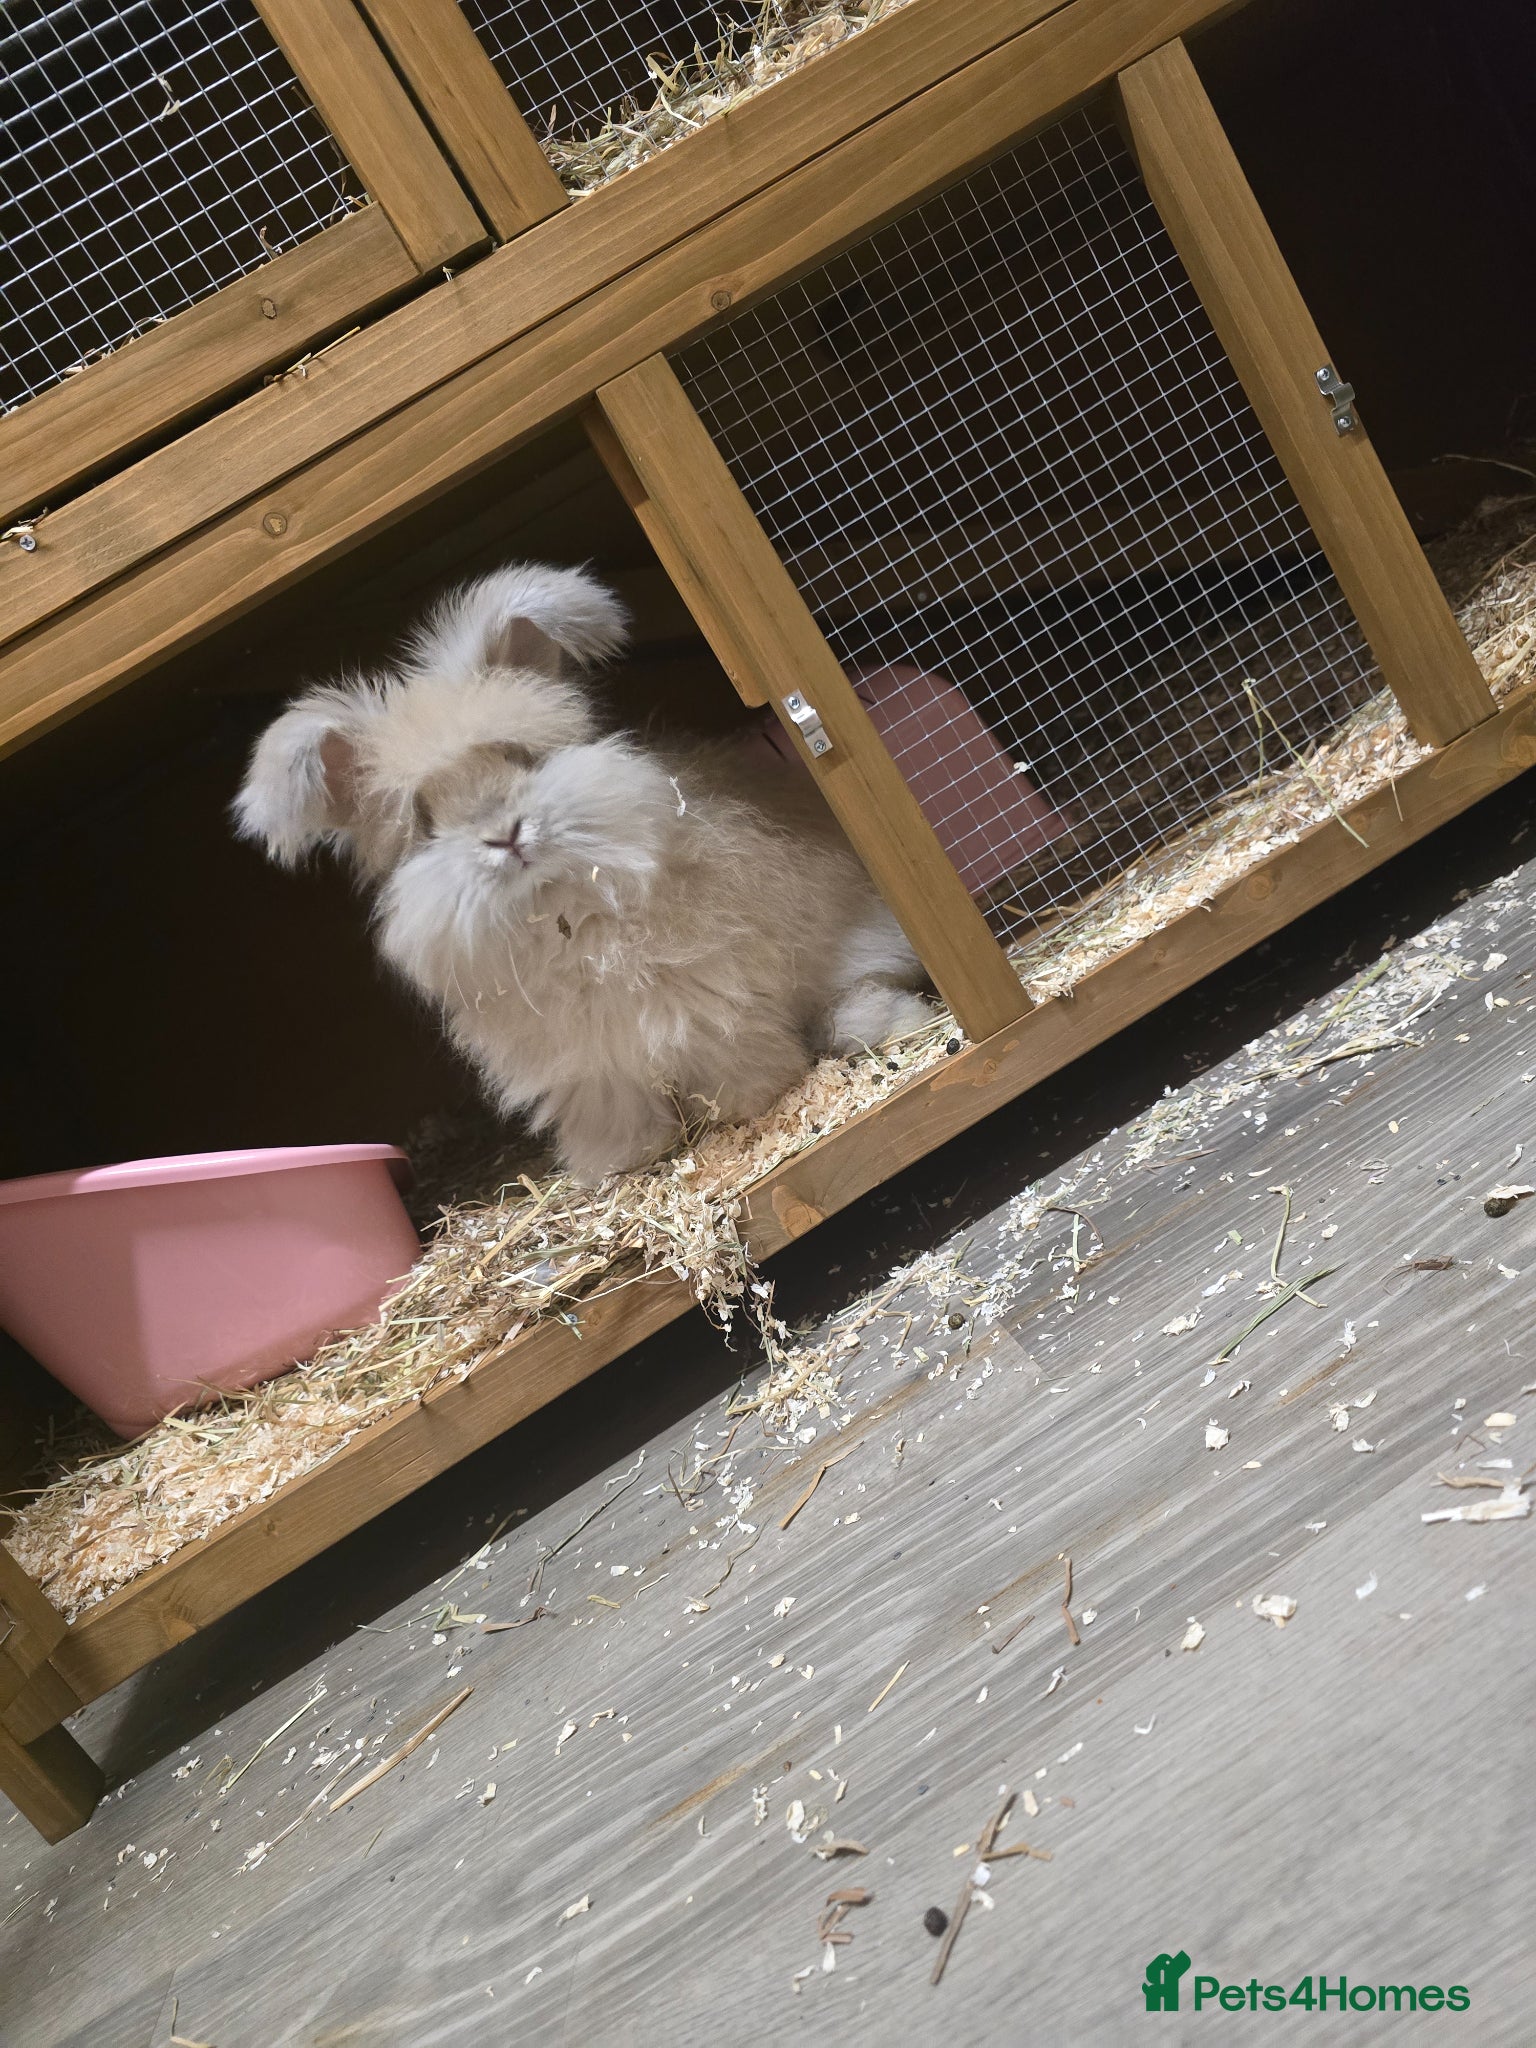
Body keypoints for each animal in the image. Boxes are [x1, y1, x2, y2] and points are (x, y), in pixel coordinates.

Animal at [235, 563, 934, 1182]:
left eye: (520, 758)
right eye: (426, 819)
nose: (506, 835)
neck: (562, 912)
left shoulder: (710, 1009)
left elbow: (739, 1062)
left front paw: (750, 1107)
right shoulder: (590, 1072)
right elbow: (618, 1116)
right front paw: (621, 1162)